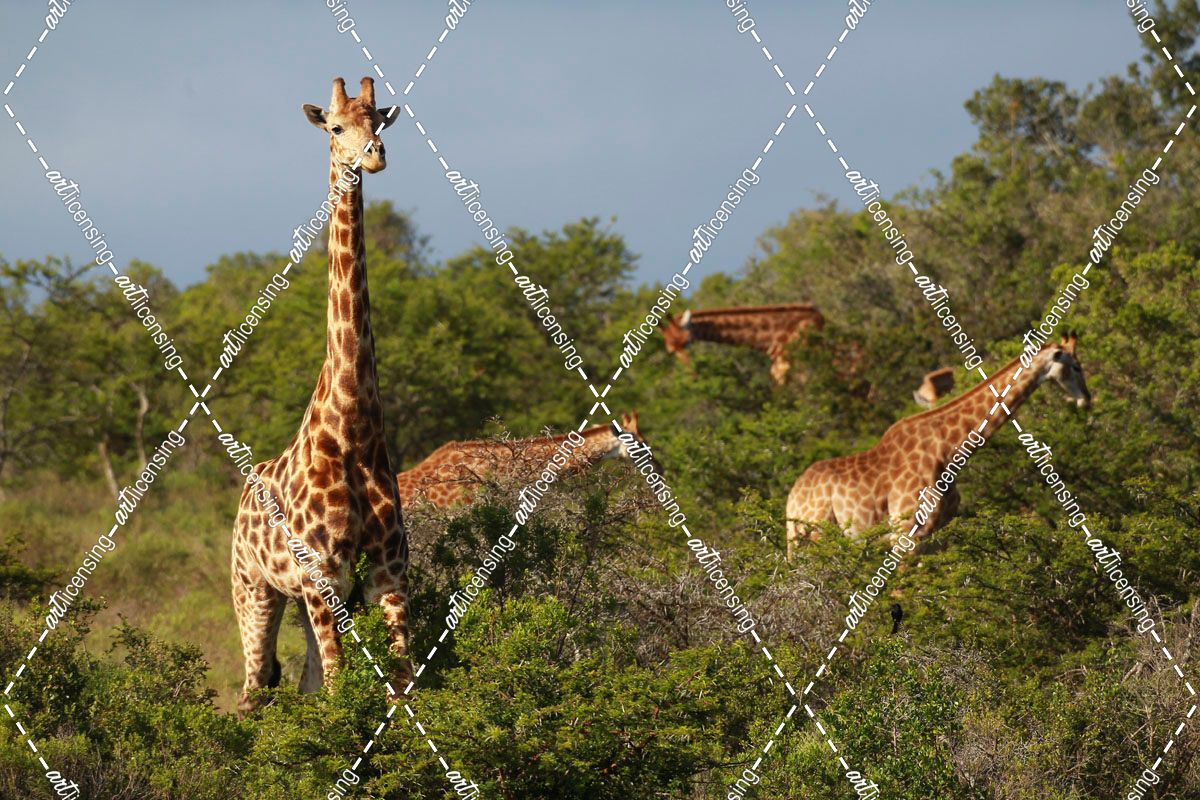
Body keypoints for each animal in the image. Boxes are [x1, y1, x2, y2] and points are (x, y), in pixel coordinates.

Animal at [230, 77, 408, 715]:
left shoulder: (386, 573)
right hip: (254, 589)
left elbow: (402, 682)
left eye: (379, 119)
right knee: (254, 687)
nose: (374, 157)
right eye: (335, 127)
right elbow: (338, 685)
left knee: (303, 679)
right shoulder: (321, 574)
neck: (353, 428)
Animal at [785, 335, 1091, 560]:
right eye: (1076, 366)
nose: (1086, 399)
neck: (948, 451)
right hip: (814, 537)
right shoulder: (906, 535)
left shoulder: (936, 536)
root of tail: (791, 500)